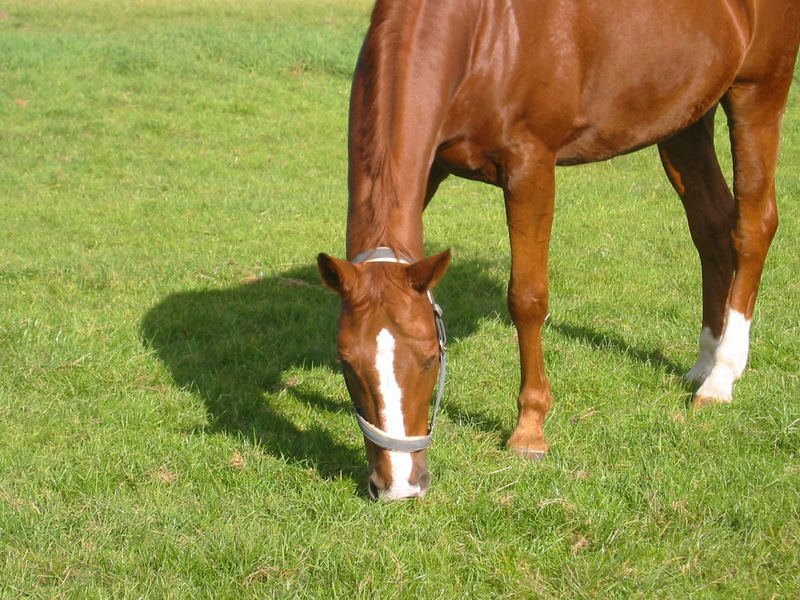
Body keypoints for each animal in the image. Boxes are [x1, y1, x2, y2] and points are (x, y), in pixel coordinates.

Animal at [316, 1, 796, 502]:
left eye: (431, 357)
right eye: (346, 363)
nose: (399, 486)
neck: (483, 33)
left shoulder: (530, 169)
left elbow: (527, 300)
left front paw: (529, 431)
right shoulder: (430, 169)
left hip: (757, 95)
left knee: (752, 227)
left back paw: (722, 375)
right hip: (686, 118)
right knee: (711, 225)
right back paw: (703, 361)